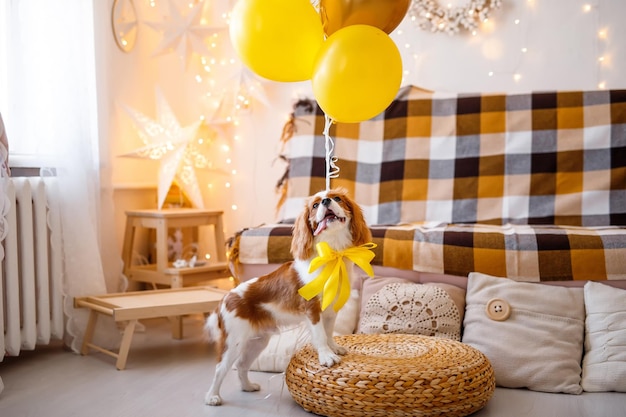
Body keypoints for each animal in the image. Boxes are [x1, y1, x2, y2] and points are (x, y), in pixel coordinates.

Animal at [205, 187, 370, 404]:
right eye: (315, 205)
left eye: (337, 198)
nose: (325, 201)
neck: (331, 254)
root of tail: (225, 299)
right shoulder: (312, 310)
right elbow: (320, 335)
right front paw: (326, 357)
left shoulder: (330, 311)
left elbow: (328, 332)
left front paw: (333, 348)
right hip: (234, 341)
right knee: (219, 368)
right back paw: (212, 397)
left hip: (258, 341)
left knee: (241, 365)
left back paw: (247, 386)